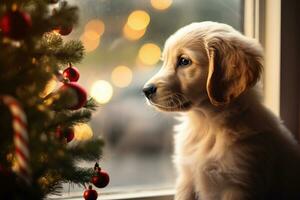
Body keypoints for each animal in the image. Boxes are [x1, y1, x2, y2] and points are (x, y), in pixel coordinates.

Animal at [142, 21, 300, 199]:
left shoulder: (238, 184)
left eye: (184, 61)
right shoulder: (187, 178)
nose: (146, 90)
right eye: (165, 61)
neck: (206, 125)